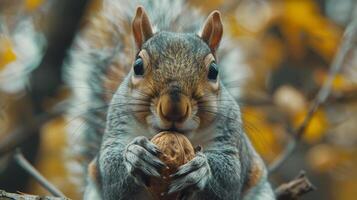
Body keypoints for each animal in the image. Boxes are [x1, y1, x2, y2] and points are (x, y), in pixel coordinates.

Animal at [64, 0, 276, 199]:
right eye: (137, 66)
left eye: (214, 71)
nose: (174, 108)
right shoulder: (117, 128)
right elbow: (112, 177)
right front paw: (135, 155)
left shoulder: (229, 139)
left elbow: (229, 180)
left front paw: (201, 170)